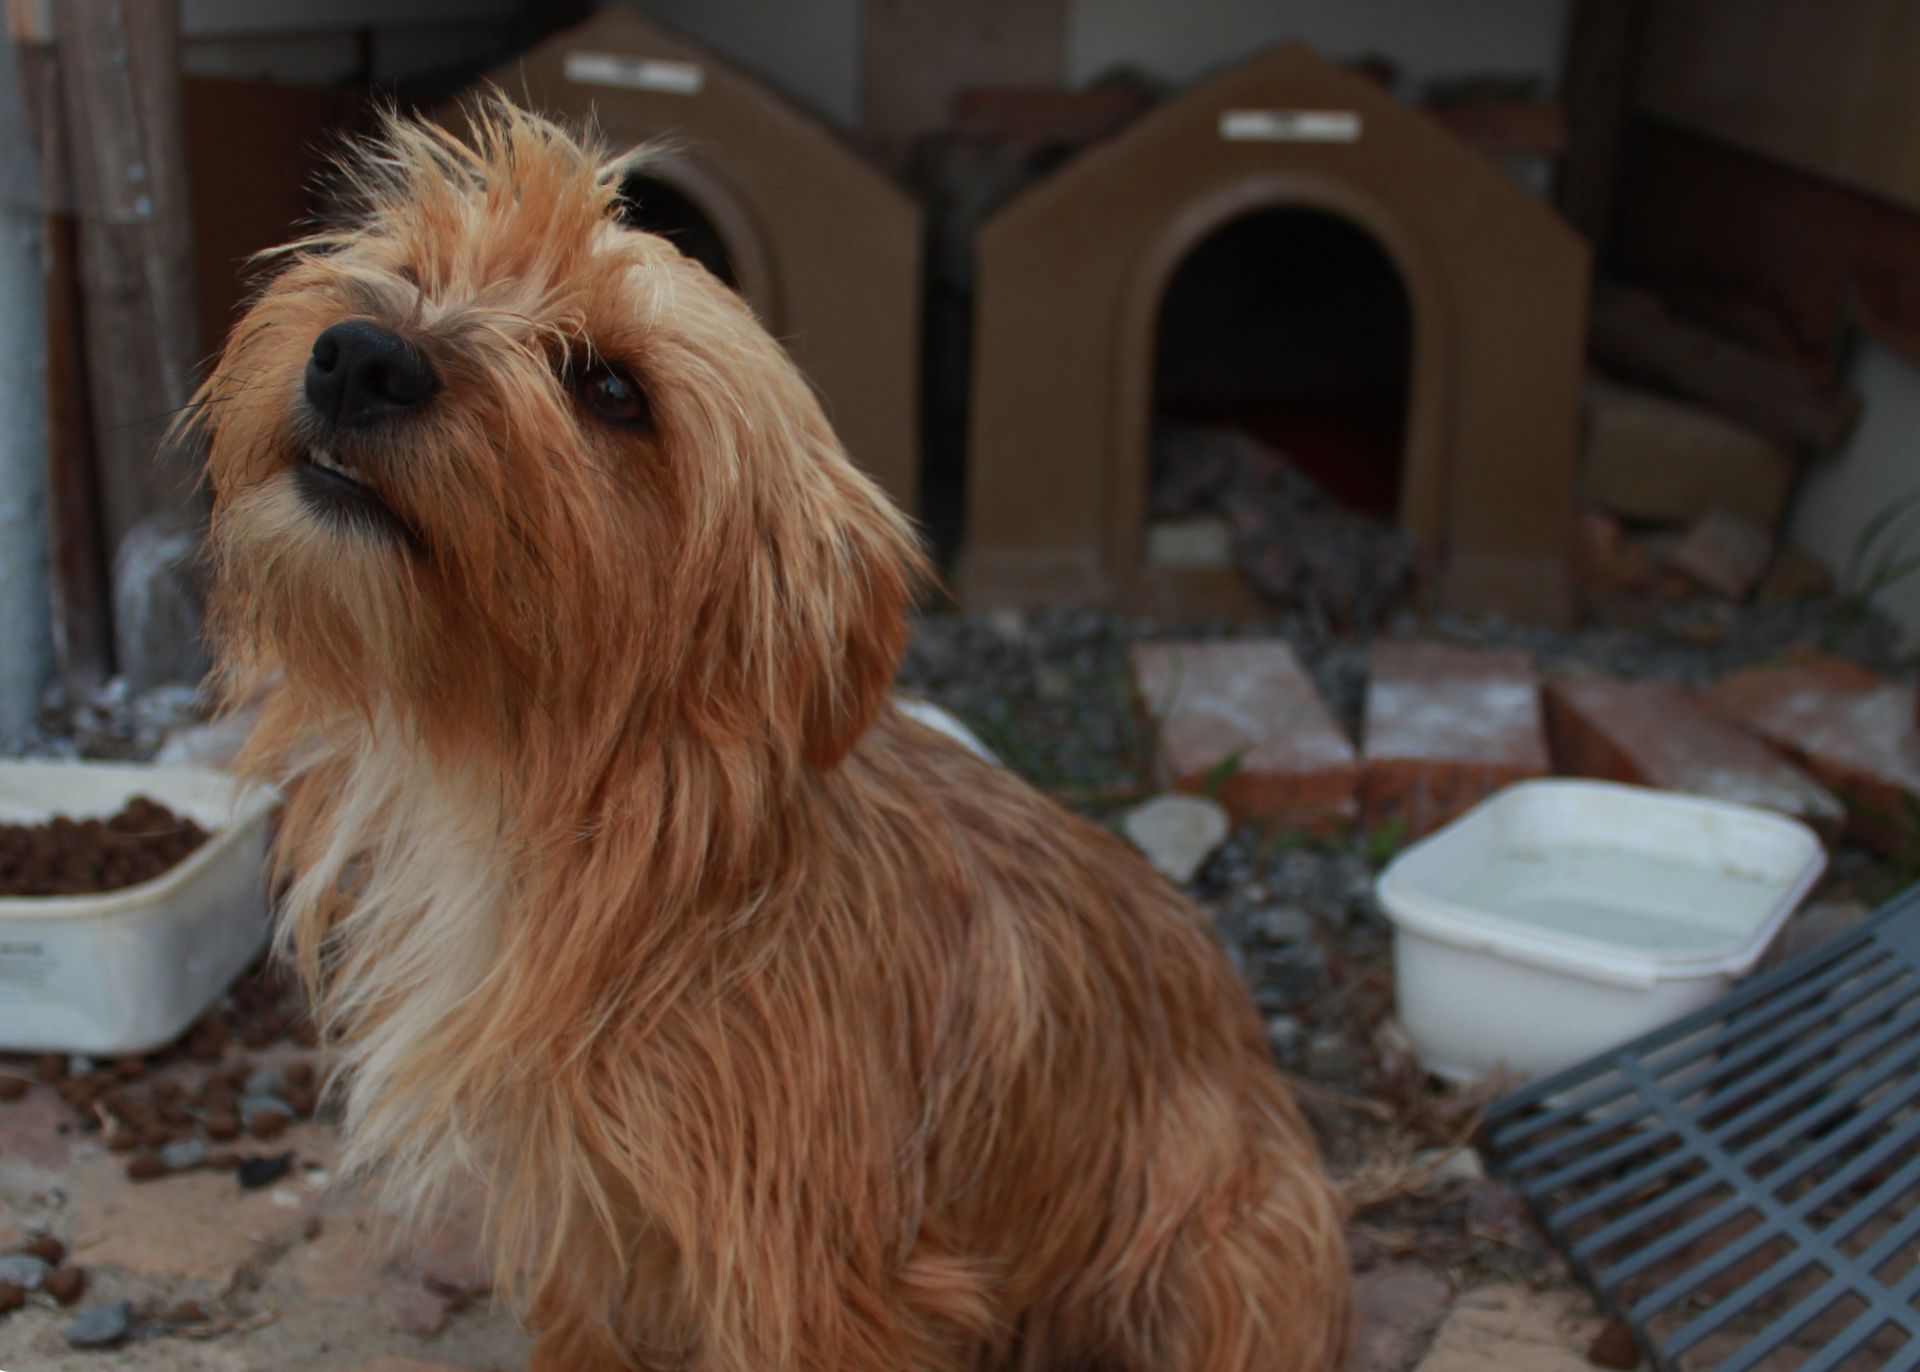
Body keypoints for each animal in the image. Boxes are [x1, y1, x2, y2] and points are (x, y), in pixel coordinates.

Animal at [187, 104, 1344, 1372]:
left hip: (1218, 1251)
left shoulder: (810, 1274)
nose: (359, 356)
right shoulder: (587, 1206)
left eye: (611, 387)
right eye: (413, 266)